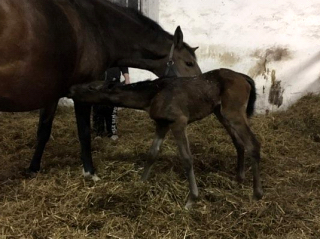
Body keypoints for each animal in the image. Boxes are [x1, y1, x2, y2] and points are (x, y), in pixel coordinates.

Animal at [69, 68, 264, 208]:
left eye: (91, 87)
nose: (71, 89)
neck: (153, 95)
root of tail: (244, 77)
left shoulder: (178, 122)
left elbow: (186, 158)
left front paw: (192, 199)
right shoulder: (162, 123)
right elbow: (152, 153)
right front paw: (141, 183)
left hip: (233, 113)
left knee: (253, 144)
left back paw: (257, 193)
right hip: (221, 112)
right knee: (239, 142)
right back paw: (239, 179)